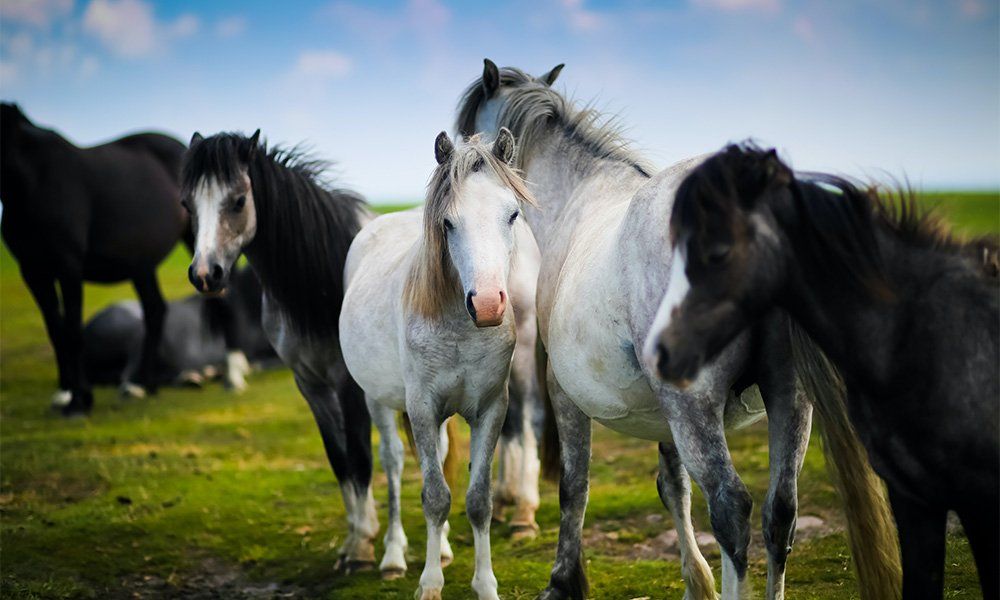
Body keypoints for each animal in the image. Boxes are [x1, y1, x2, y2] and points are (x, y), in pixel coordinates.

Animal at [0, 102, 191, 415]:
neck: (34, 180)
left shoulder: (68, 267)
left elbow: (73, 332)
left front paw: (79, 400)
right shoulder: (33, 270)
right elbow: (56, 332)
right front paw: (65, 392)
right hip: (141, 264)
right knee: (154, 310)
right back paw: (144, 384)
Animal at [340, 129, 537, 600]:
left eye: (512, 214)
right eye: (448, 223)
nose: (487, 305)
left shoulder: (490, 409)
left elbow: (477, 499)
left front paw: (485, 584)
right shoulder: (422, 410)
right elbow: (434, 496)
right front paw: (429, 584)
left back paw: (443, 548)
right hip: (378, 401)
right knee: (393, 464)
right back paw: (393, 556)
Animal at [456, 60, 899, 600]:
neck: (580, 195)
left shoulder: (566, 393)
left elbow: (573, 487)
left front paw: (563, 580)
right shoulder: (662, 411)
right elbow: (673, 486)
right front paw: (695, 582)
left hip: (696, 406)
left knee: (732, 509)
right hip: (788, 398)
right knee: (780, 513)